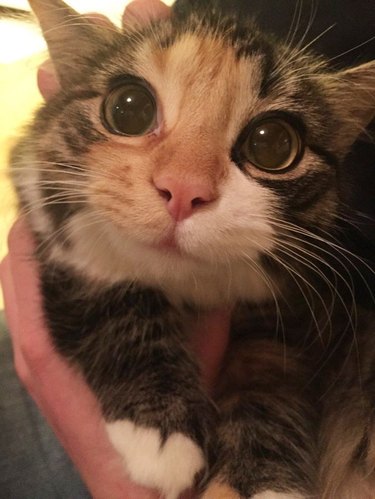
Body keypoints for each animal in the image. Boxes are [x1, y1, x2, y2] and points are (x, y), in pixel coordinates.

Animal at [9, 0, 375, 498]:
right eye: (128, 109)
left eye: (274, 144)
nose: (184, 190)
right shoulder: (51, 218)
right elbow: (109, 297)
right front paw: (160, 434)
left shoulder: (293, 306)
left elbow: (269, 375)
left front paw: (260, 480)